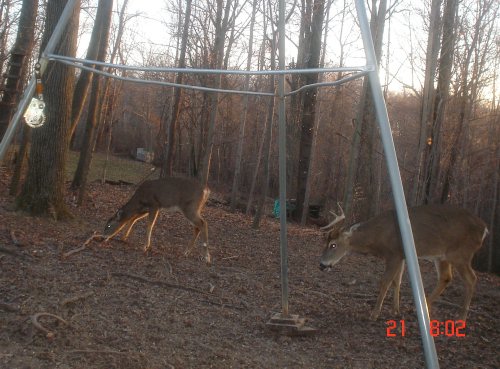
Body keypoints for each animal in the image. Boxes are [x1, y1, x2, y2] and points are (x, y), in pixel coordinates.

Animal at [320, 203, 488, 320]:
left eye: (333, 244)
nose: (321, 265)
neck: (377, 237)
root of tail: (484, 229)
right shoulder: (401, 255)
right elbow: (397, 281)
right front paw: (396, 310)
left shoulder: (393, 253)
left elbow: (385, 281)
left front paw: (374, 313)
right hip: (442, 256)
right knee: (446, 278)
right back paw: (422, 308)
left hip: (461, 254)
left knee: (471, 278)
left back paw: (461, 318)